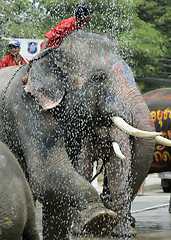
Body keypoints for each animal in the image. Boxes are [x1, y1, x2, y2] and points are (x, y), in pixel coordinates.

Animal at [0, 31, 168, 238]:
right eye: (99, 77)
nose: (107, 199)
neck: (52, 56)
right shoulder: (27, 107)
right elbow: (48, 172)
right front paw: (100, 217)